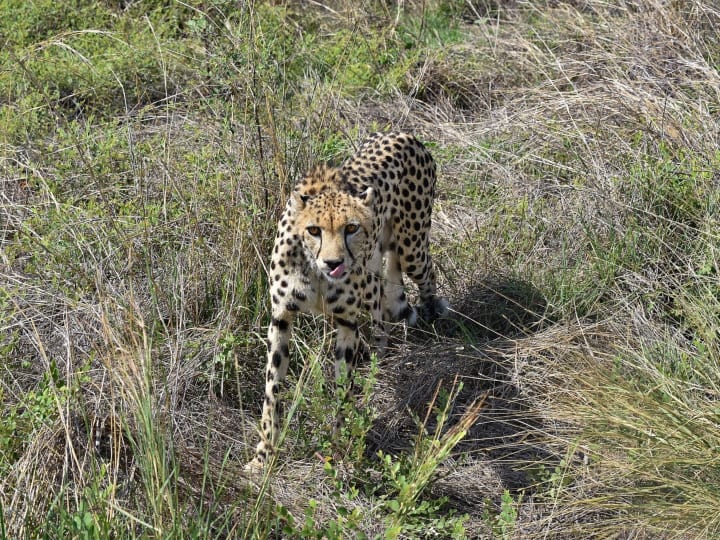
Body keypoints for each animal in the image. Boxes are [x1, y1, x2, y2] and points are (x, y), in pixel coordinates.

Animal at [250, 131, 448, 468]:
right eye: (313, 230)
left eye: (351, 227)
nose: (334, 263)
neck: (315, 271)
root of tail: (402, 133)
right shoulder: (280, 318)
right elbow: (272, 389)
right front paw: (264, 454)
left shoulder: (346, 322)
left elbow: (343, 388)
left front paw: (338, 443)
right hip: (377, 271)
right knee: (383, 303)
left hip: (412, 247)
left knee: (425, 275)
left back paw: (430, 316)